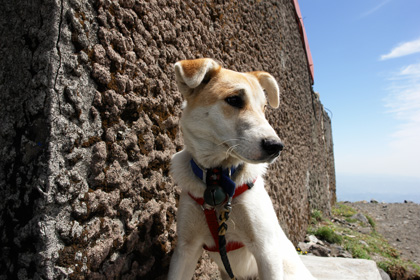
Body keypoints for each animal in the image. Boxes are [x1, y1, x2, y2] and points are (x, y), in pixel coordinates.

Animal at [167, 58, 316, 278]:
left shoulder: (266, 250)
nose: (276, 146)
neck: (217, 178)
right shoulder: (186, 249)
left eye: (264, 107)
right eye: (234, 99)